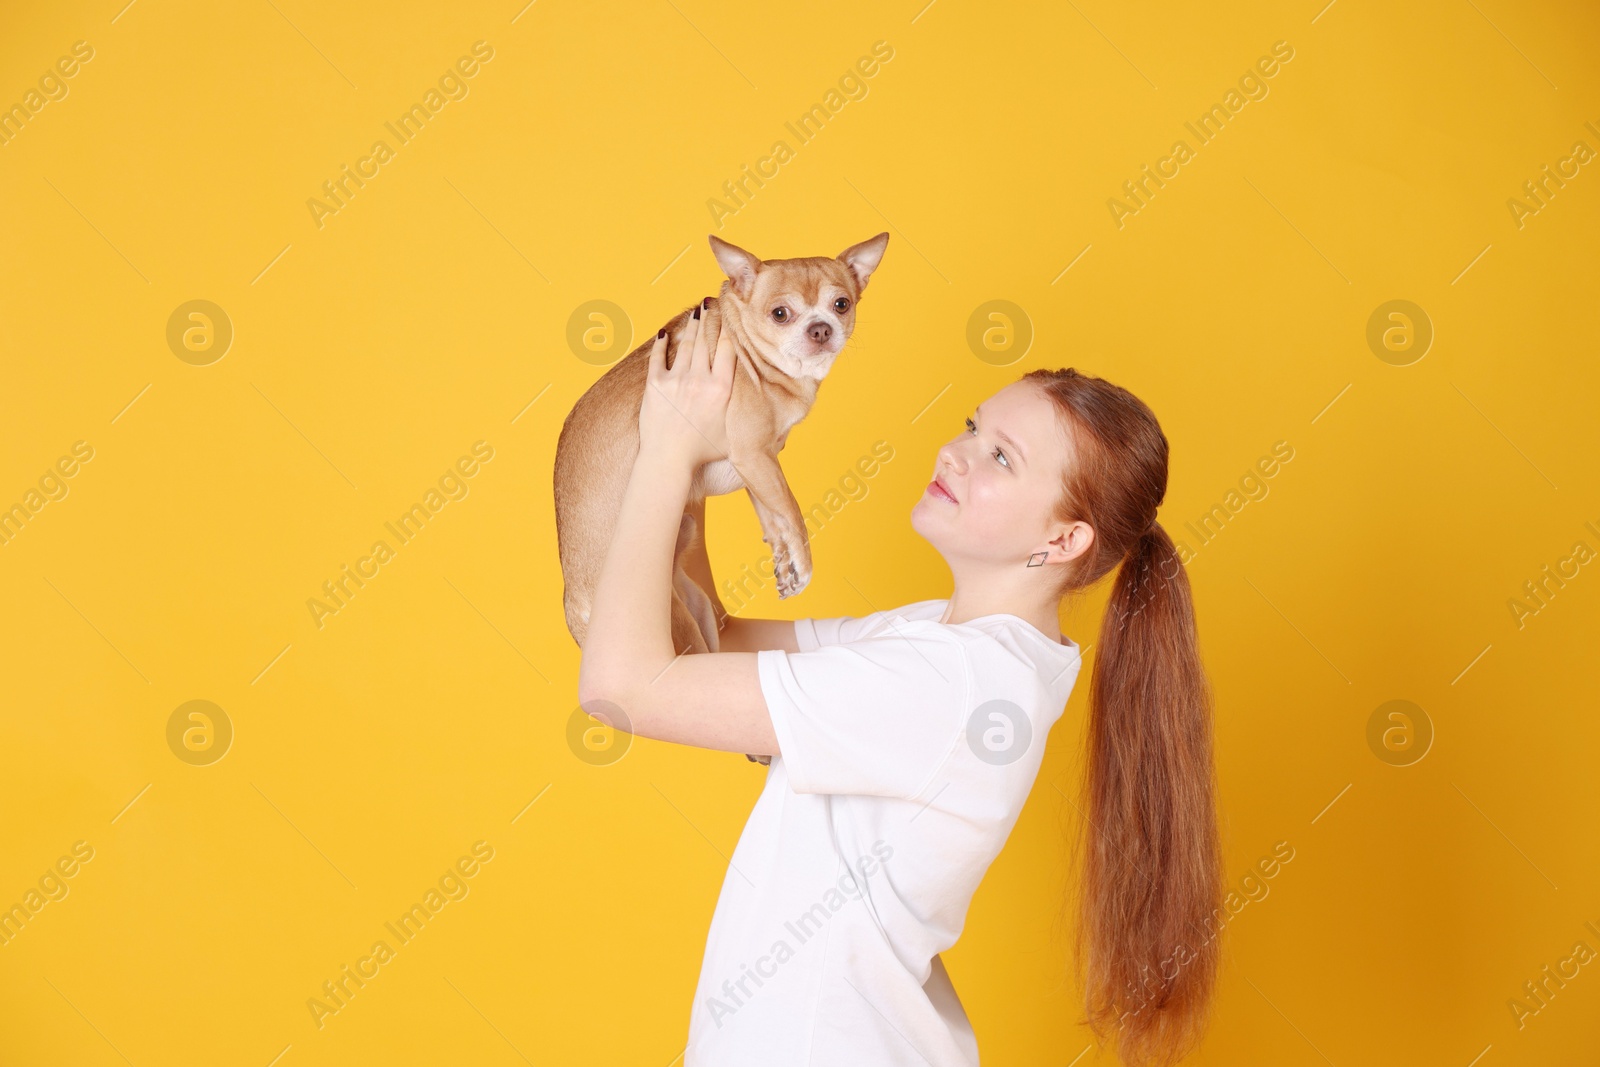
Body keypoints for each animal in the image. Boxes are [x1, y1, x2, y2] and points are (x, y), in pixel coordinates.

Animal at [556, 233, 889, 659]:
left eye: (841, 305)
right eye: (780, 314)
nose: (820, 329)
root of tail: (573, 604)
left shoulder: (758, 465)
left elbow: (773, 515)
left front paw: (784, 564)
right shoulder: (753, 456)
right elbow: (792, 511)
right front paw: (803, 563)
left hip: (696, 604)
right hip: (677, 627)